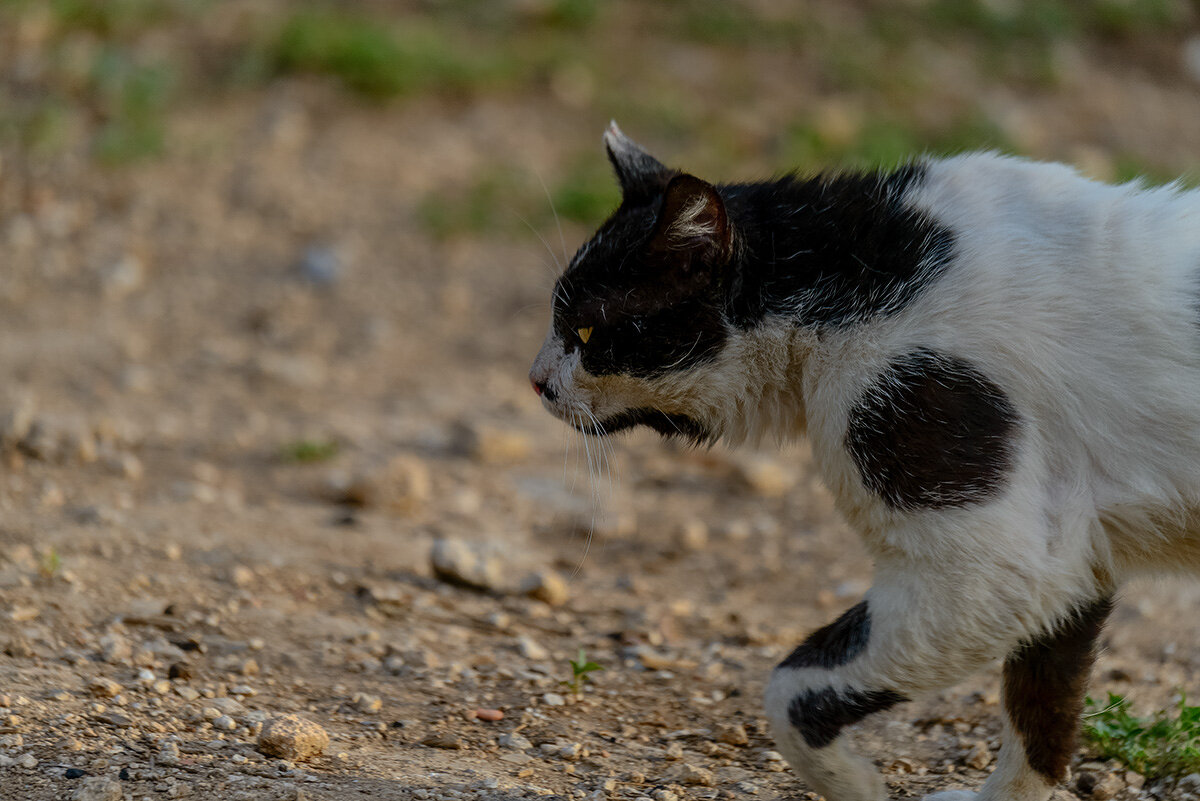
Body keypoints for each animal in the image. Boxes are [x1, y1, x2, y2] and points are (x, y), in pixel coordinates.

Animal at [530, 120, 1200, 801]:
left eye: (586, 332)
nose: (536, 381)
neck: (858, 282)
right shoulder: (1071, 561)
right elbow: (1043, 713)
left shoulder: (984, 568)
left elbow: (788, 690)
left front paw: (851, 783)